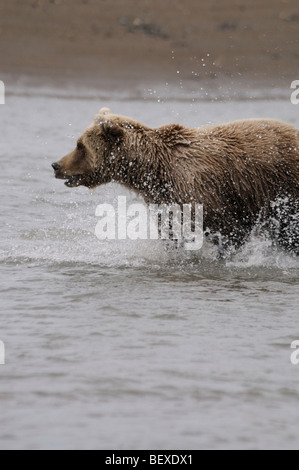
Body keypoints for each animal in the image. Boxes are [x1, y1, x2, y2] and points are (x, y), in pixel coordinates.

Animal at [52, 107, 299, 253]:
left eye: (79, 145)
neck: (152, 170)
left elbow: (228, 231)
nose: (56, 165)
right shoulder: (165, 199)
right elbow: (171, 232)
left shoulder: (201, 191)